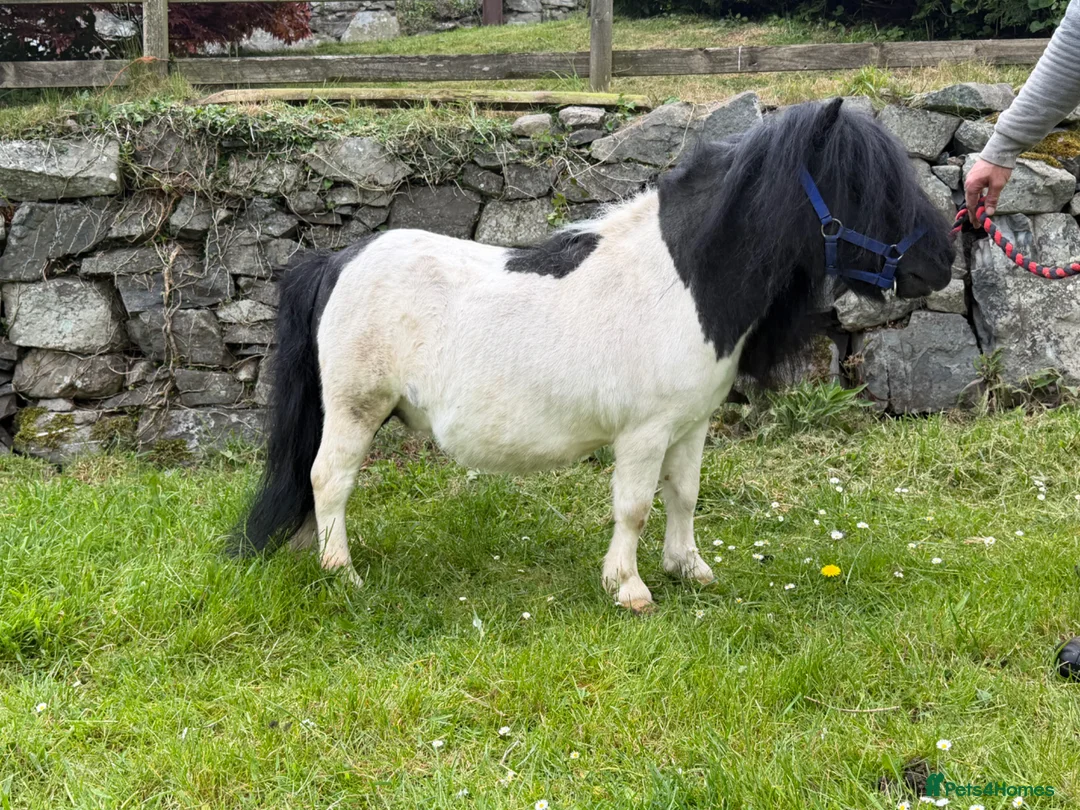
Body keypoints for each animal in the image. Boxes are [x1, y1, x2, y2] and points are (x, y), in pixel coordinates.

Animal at [234, 98, 954, 611]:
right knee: (329, 478)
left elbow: (684, 495)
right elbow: (634, 505)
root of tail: (338, 259)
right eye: (861, 184)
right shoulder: (644, 433)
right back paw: (342, 572)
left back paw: (310, 554)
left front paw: (689, 568)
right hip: (356, 410)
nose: (941, 263)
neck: (683, 280)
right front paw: (629, 587)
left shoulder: (690, 426)